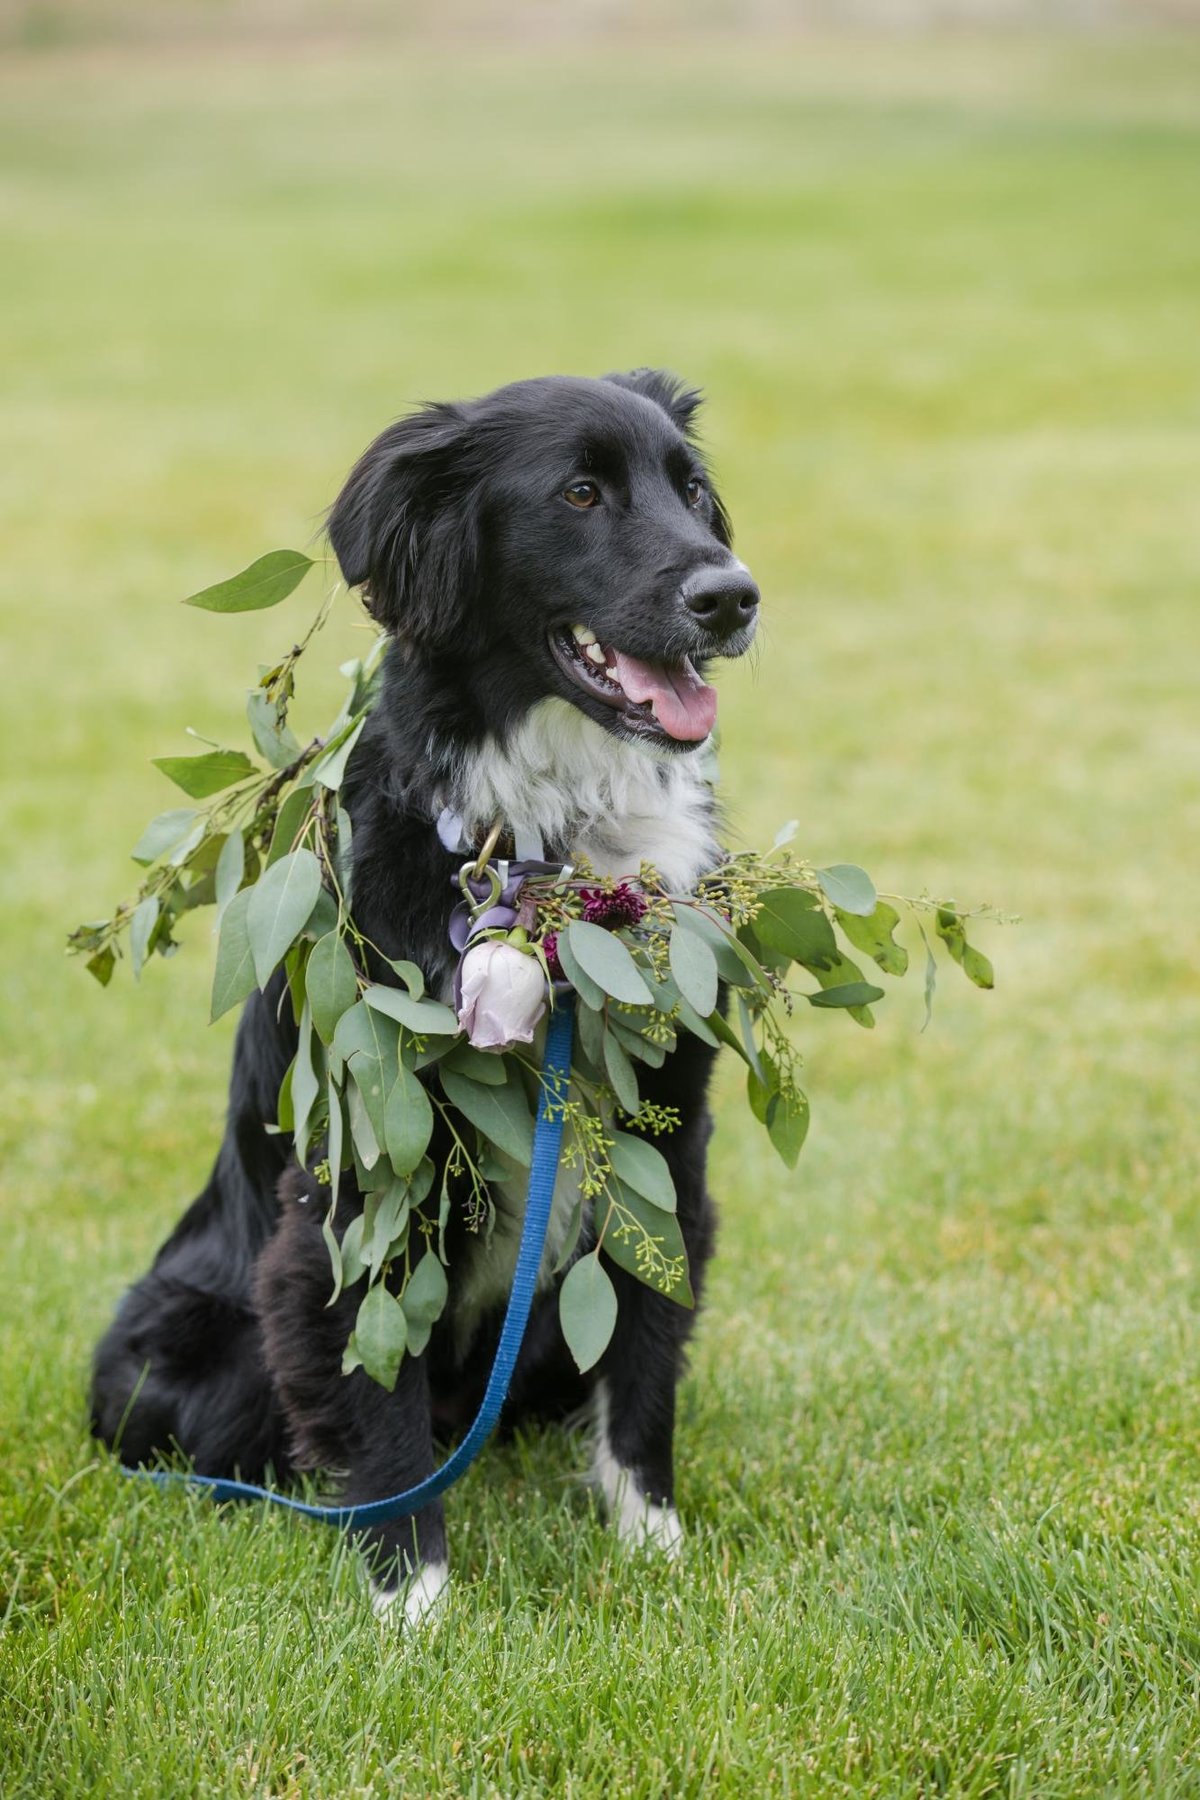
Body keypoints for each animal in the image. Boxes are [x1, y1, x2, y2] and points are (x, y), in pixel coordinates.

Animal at [91, 369, 759, 1634]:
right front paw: (413, 1600)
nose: (733, 597)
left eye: (695, 492)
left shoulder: (667, 1142)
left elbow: (645, 1353)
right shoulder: (362, 1172)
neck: (548, 863)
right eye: (581, 493)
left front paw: (653, 1540)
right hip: (182, 1346)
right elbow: (377, 1388)